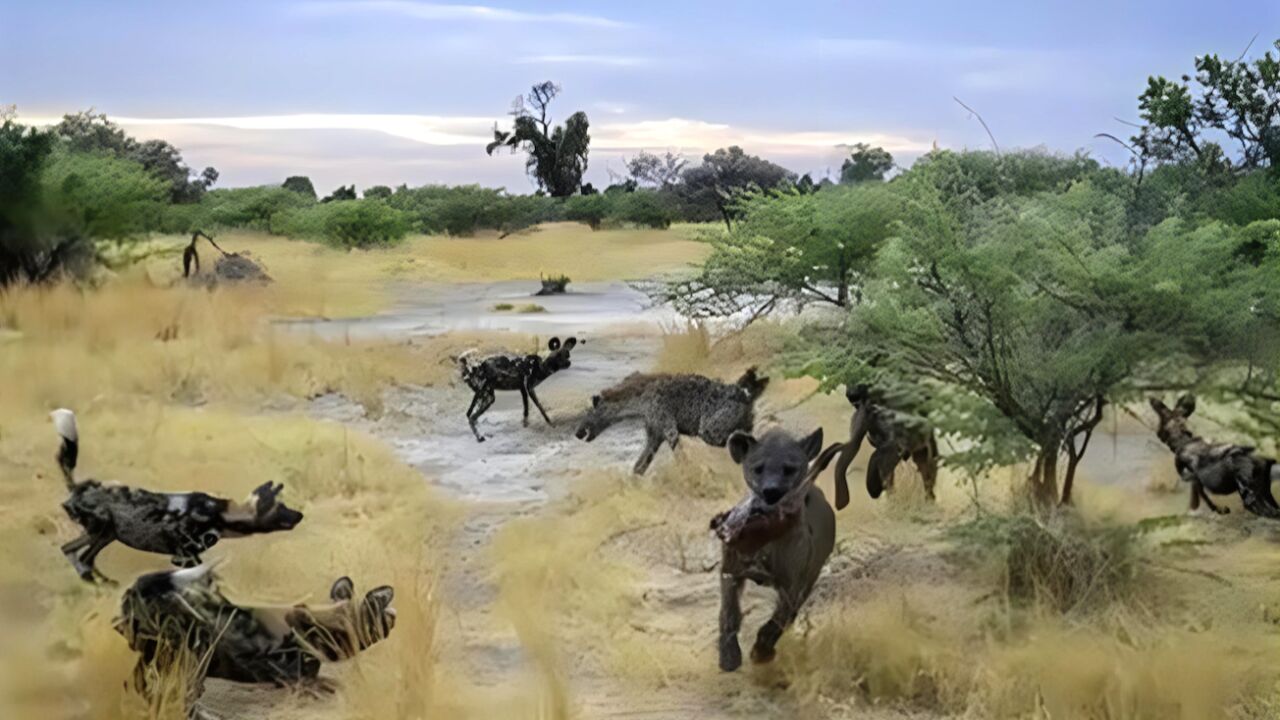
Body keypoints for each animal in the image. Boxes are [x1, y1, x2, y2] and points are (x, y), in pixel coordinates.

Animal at [573, 366, 768, 474]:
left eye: (587, 414)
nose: (577, 433)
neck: (640, 402)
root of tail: (744, 395)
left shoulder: (669, 429)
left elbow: (680, 458)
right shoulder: (655, 435)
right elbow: (638, 467)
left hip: (709, 430)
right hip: (738, 424)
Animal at [711, 425, 839, 666]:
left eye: (789, 469)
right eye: (758, 468)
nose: (771, 491)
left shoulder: (792, 585)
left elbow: (776, 621)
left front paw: (761, 651)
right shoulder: (731, 571)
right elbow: (729, 613)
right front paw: (729, 655)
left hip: (810, 576)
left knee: (791, 613)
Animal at [1152, 392, 1280, 515]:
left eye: (1160, 426)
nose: (1157, 434)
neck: (1183, 441)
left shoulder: (1193, 478)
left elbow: (1201, 499)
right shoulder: (1195, 480)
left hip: (1248, 489)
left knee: (1258, 507)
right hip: (1263, 489)